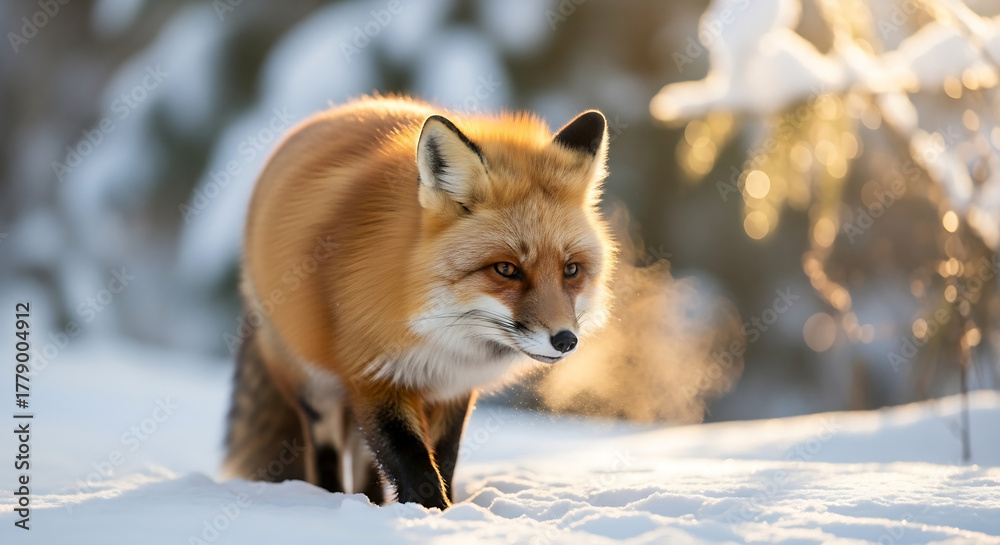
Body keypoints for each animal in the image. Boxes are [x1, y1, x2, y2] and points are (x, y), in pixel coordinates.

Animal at [224, 95, 616, 509]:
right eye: (506, 268)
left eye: (571, 270)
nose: (565, 341)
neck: (433, 333)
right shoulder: (371, 374)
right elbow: (412, 462)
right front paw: (430, 512)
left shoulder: (453, 388)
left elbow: (443, 458)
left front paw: (443, 512)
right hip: (315, 388)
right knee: (327, 454)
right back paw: (333, 500)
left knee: (364, 459)